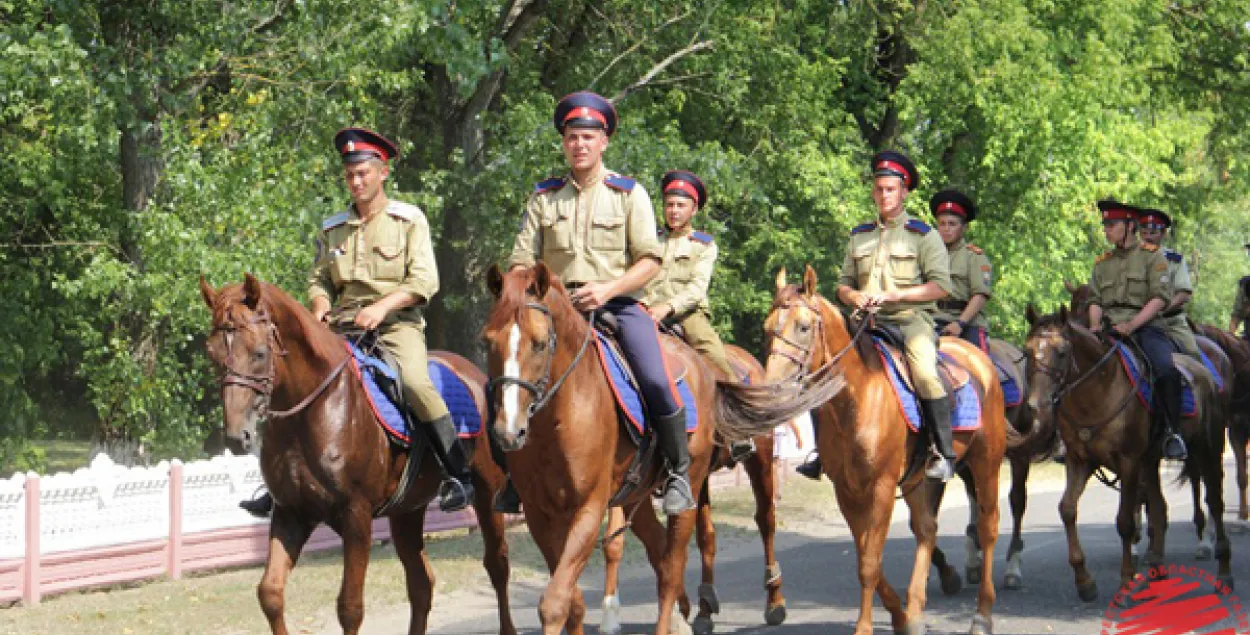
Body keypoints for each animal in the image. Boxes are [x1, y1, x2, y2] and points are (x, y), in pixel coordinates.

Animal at [200, 273, 512, 635]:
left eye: (260, 353)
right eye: (213, 355)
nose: (238, 436)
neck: (313, 409)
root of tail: (472, 373)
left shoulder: (356, 515)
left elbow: (349, 607)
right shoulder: (292, 513)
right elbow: (270, 594)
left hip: (487, 494)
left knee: (497, 564)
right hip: (407, 511)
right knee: (422, 583)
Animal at [600, 342, 785, 635]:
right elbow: (639, 544)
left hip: (761, 459)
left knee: (766, 519)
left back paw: (775, 601)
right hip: (703, 480)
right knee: (707, 535)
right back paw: (705, 609)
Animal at [760, 265, 1005, 635]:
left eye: (803, 327)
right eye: (767, 328)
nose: (772, 389)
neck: (857, 399)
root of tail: (980, 360)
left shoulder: (882, 488)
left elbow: (870, 563)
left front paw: (865, 627)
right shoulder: (846, 491)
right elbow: (866, 557)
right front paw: (901, 617)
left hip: (986, 464)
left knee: (988, 529)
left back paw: (982, 615)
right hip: (918, 478)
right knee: (926, 529)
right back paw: (916, 611)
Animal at [1025, 302, 1230, 600]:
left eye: (1061, 352)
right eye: (1027, 350)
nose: (1036, 405)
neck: (1097, 392)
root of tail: (1203, 371)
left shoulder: (1128, 462)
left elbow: (1125, 521)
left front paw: (1126, 583)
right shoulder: (1080, 461)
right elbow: (1067, 509)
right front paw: (1084, 581)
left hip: (1208, 451)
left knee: (1214, 501)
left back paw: (1224, 574)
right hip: (1151, 461)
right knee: (1160, 509)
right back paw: (1157, 569)